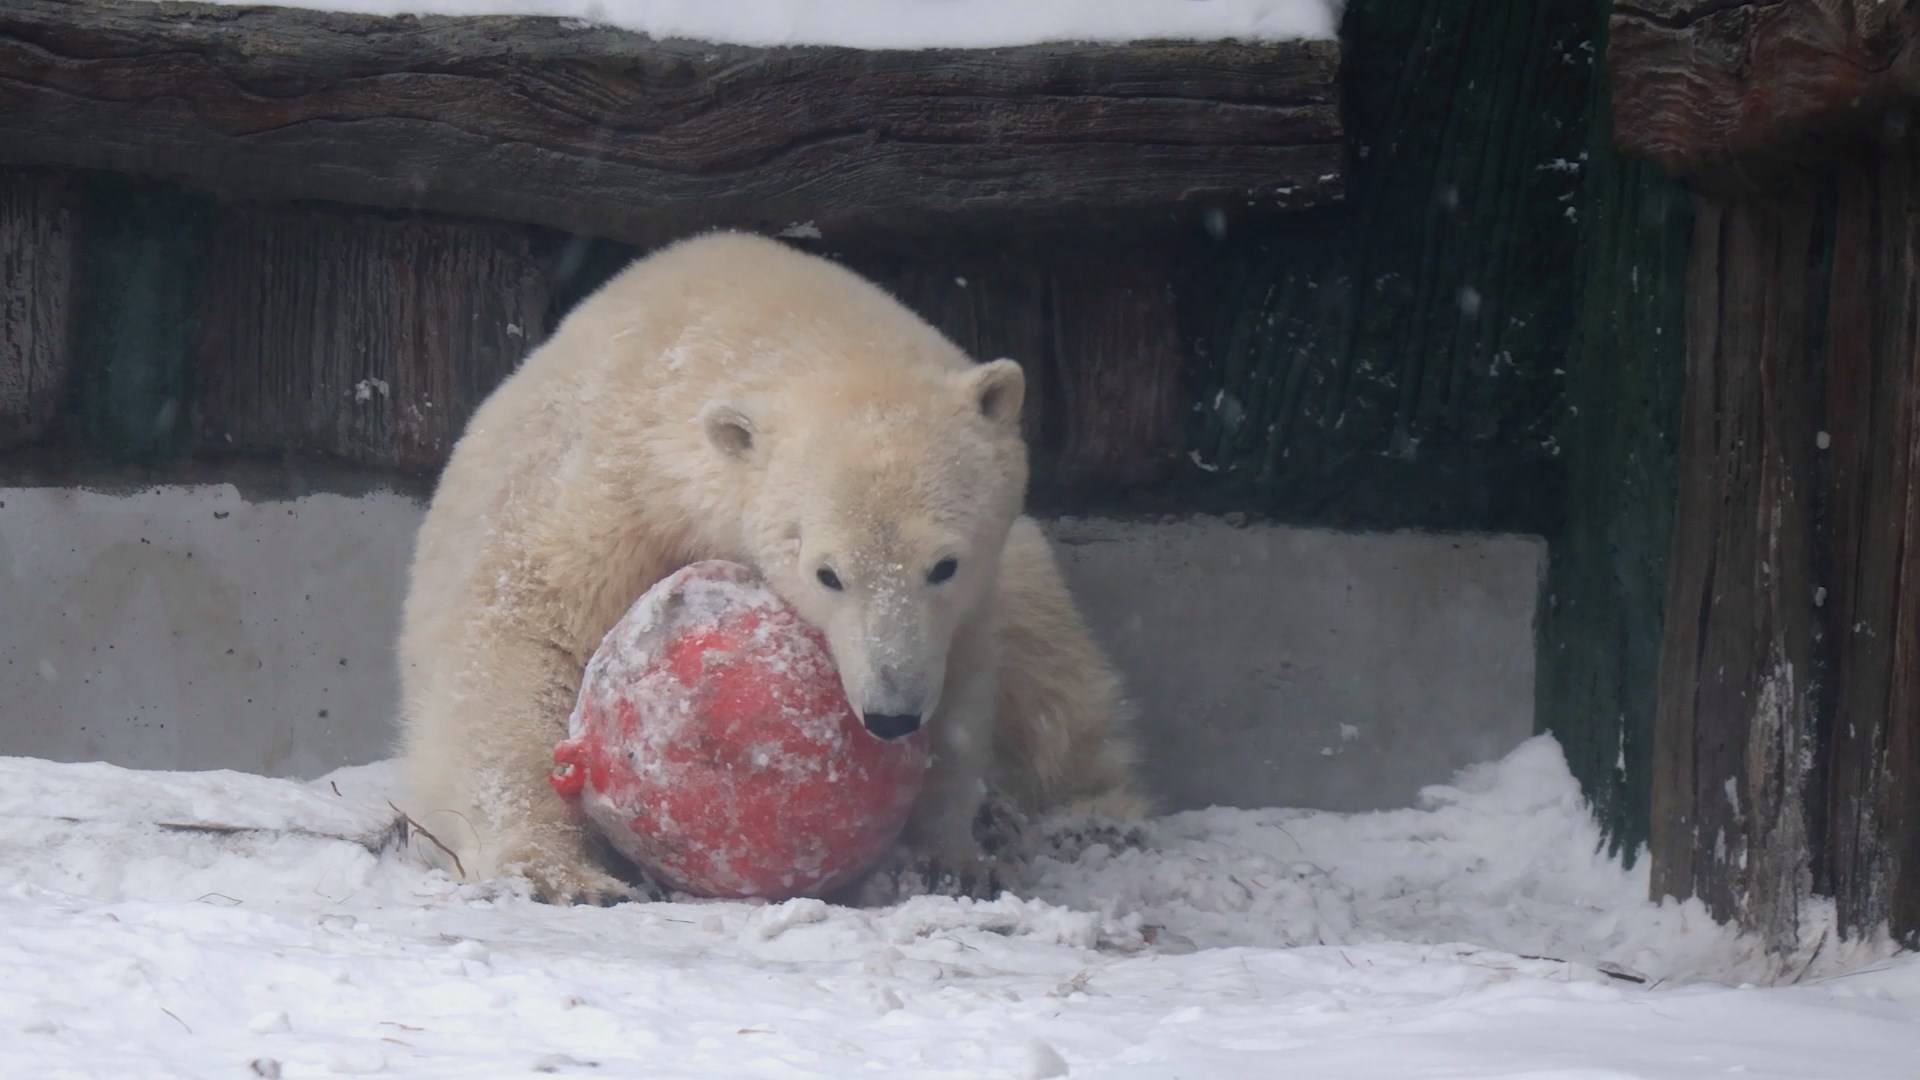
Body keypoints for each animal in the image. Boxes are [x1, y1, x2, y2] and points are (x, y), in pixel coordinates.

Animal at [389, 228, 1136, 899]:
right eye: (828, 574)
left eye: (944, 565)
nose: (891, 715)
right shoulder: (593, 491)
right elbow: (515, 643)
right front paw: (560, 875)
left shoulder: (971, 602)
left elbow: (963, 696)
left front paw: (950, 860)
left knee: (1055, 680)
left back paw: (1084, 819)